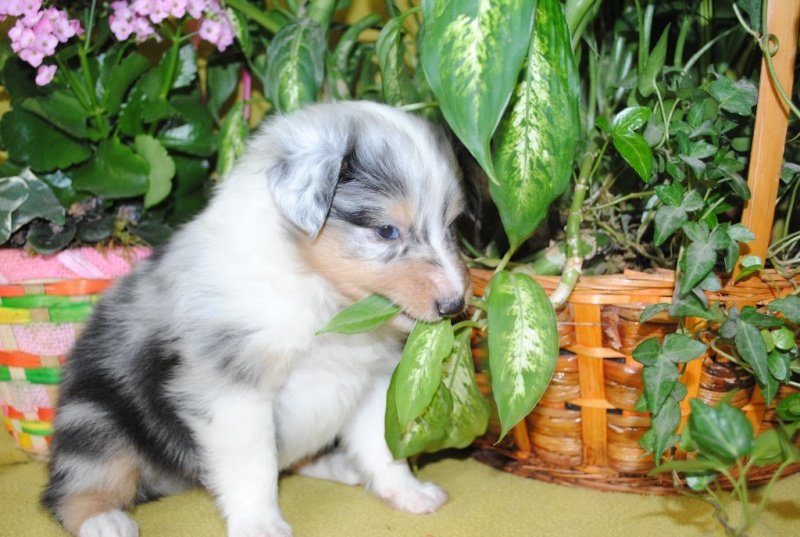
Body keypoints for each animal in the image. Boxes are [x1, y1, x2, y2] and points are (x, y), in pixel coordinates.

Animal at [42, 101, 468, 536]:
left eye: (451, 226)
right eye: (386, 230)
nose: (455, 305)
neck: (323, 299)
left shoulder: (375, 381)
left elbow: (384, 447)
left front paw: (410, 492)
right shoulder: (234, 390)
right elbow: (254, 467)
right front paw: (260, 524)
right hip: (94, 419)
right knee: (73, 487)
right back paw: (104, 520)